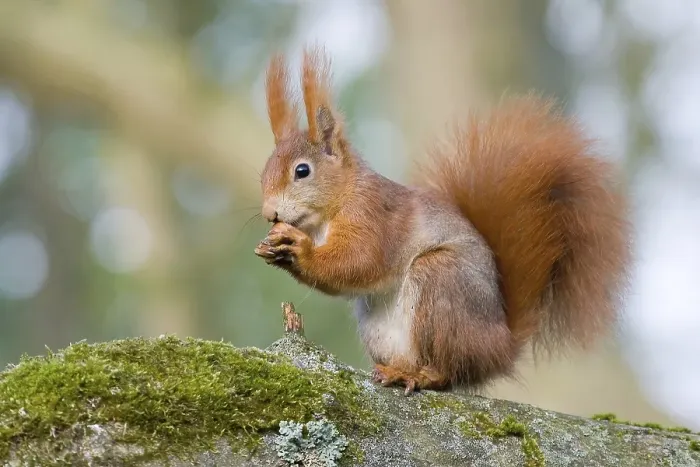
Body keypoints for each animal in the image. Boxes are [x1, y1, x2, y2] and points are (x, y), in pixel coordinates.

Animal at [254, 47, 631, 395]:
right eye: (264, 173)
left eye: (302, 171)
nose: (270, 214)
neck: (335, 206)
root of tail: (499, 347)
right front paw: (273, 246)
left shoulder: (375, 216)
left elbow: (359, 261)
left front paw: (298, 249)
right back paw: (398, 369)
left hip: (441, 282)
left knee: (448, 372)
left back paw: (416, 376)